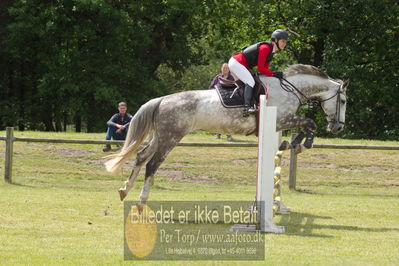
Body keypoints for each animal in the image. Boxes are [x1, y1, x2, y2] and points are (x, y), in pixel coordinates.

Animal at [104, 64, 348, 202]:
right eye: (344, 101)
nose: (337, 127)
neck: (290, 88)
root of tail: (162, 99)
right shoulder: (281, 118)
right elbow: (309, 123)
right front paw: (301, 143)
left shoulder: (281, 122)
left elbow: (305, 125)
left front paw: (292, 143)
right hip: (171, 137)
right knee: (152, 164)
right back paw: (142, 199)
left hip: (160, 136)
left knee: (140, 156)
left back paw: (124, 190)